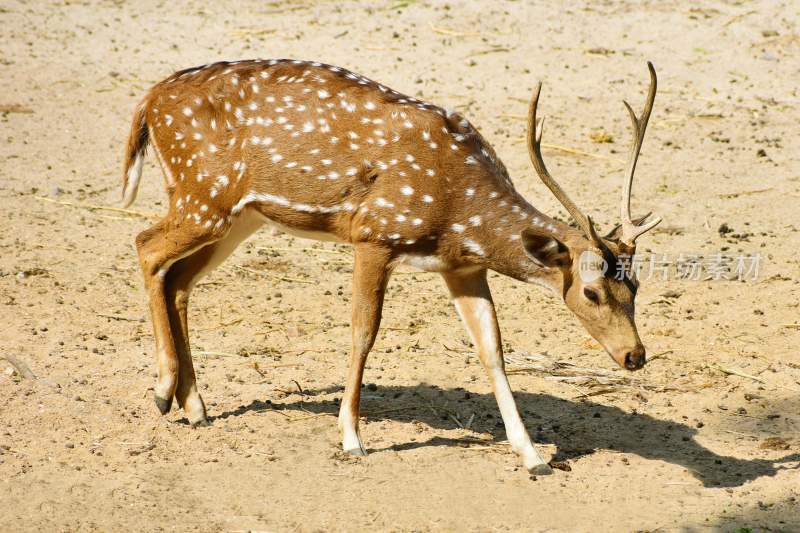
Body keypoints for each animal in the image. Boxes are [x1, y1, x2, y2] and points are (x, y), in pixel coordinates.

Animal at [123, 59, 664, 474]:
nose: (635, 356)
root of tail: (148, 100)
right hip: (203, 196)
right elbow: (364, 331)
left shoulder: (461, 267)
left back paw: (195, 407)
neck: (458, 208)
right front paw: (351, 438)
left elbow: (492, 348)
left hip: (237, 216)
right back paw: (163, 390)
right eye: (591, 291)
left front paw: (533, 457)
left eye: (636, 285)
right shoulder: (375, 234)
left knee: (179, 279)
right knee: (146, 245)